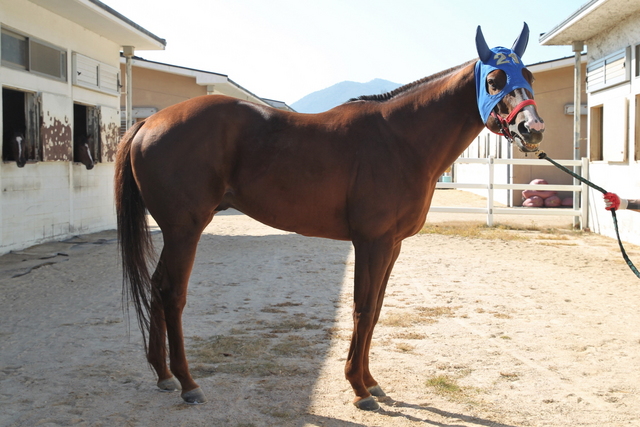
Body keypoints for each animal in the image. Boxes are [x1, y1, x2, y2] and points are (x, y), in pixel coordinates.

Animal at [112, 23, 544, 412]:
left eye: (529, 76)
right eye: (494, 80)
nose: (533, 129)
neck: (398, 139)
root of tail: (148, 123)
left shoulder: (392, 246)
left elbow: (376, 311)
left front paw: (371, 382)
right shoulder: (371, 242)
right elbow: (363, 309)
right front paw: (359, 389)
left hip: (175, 232)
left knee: (156, 286)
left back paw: (164, 376)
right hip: (184, 230)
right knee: (172, 293)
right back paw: (188, 383)